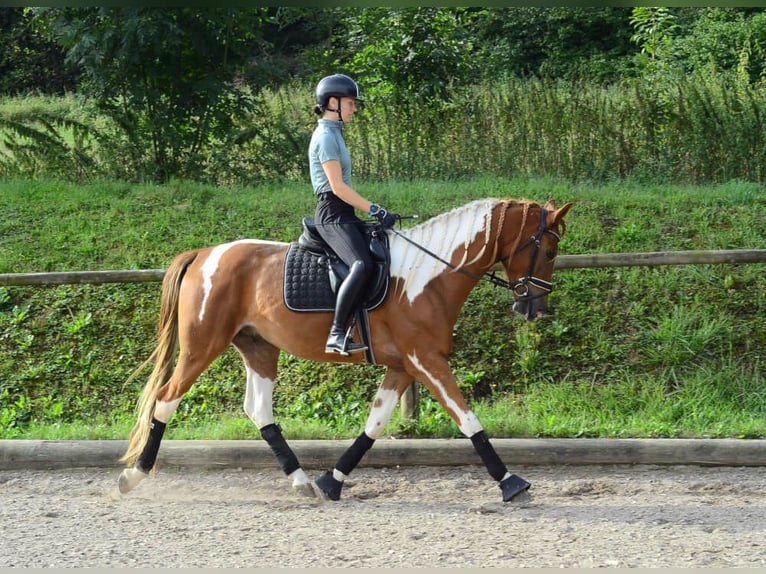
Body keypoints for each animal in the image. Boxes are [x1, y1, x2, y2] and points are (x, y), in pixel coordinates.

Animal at [118, 197, 573, 502]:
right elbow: (466, 417)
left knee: (259, 411)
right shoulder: (425, 360)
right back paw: (134, 475)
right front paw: (511, 482)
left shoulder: (403, 365)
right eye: (549, 251)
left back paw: (302, 481)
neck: (428, 275)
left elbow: (375, 424)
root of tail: (203, 255)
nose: (534, 308)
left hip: (259, 348)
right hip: (201, 347)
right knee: (166, 399)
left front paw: (332, 481)